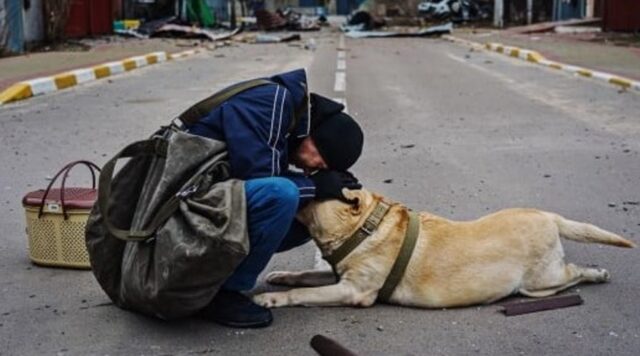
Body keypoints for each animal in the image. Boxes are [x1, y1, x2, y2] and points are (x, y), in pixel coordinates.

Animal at [254, 189, 636, 308]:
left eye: (316, 186)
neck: (363, 228)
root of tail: (550, 216)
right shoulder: (338, 277)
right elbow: (304, 276)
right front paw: (281, 276)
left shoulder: (353, 290)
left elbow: (305, 294)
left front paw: (272, 299)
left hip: (540, 281)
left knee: (573, 274)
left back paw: (597, 274)